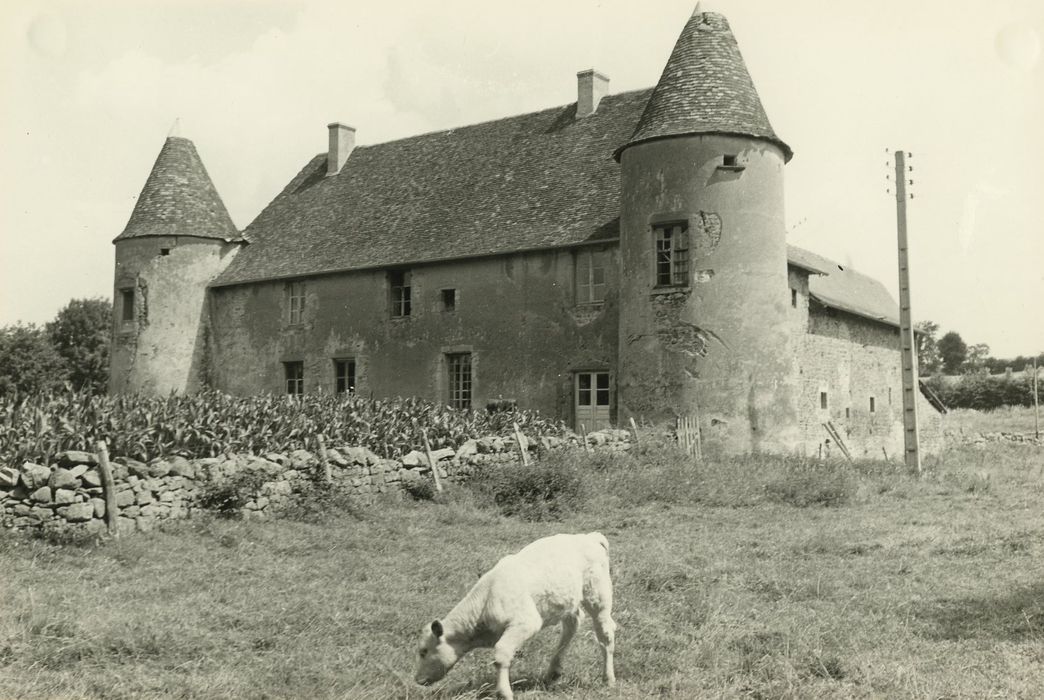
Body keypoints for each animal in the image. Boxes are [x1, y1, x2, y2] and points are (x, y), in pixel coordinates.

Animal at [413, 532, 613, 700]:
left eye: (423, 651)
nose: (417, 679)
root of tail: (589, 537)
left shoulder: (526, 623)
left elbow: (501, 654)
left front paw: (504, 692)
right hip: (568, 600)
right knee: (573, 623)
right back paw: (553, 672)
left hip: (598, 596)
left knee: (606, 633)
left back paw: (608, 679)